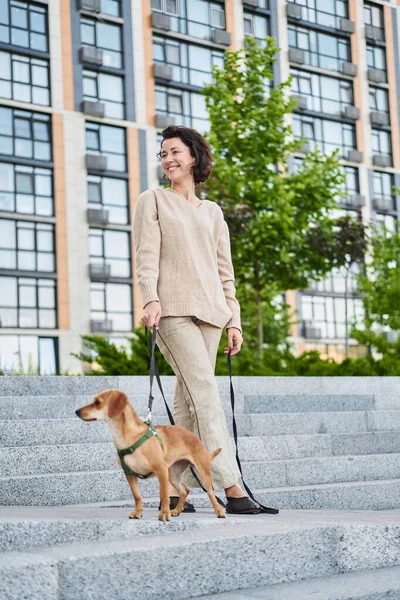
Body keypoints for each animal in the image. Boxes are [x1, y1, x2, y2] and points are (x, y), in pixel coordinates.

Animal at [75, 390, 225, 520]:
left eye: (97, 402)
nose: (76, 411)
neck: (128, 437)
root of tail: (195, 437)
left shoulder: (161, 470)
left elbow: (164, 495)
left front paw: (164, 514)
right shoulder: (129, 474)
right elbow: (137, 496)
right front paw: (138, 512)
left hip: (201, 473)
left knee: (210, 493)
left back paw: (219, 511)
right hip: (173, 475)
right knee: (185, 490)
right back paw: (177, 510)